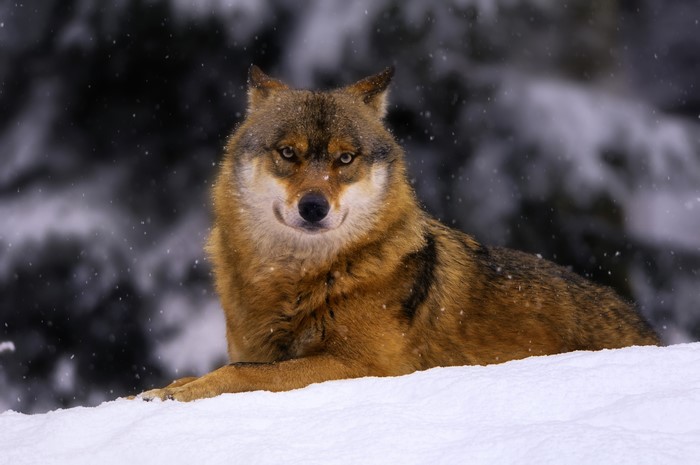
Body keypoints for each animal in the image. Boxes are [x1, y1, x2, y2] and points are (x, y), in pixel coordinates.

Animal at [140, 66, 659, 401]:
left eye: (345, 158)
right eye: (288, 153)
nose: (314, 207)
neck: (298, 280)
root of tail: (648, 331)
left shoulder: (360, 366)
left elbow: (241, 374)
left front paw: (181, 394)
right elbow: (222, 368)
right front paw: (161, 390)